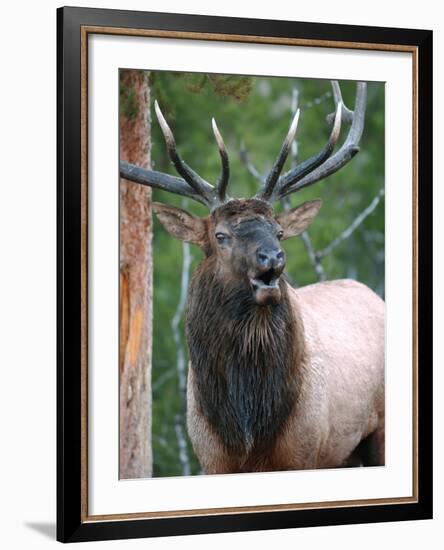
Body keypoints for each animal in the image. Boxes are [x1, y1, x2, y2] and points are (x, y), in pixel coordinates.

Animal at [119, 81, 384, 474]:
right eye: (220, 236)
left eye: (279, 231)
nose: (272, 257)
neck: (246, 427)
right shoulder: (211, 459)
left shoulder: (304, 453)